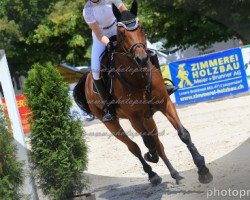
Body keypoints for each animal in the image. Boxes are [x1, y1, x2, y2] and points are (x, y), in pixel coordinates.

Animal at [74, 0, 213, 186]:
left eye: (141, 27)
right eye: (122, 33)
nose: (142, 59)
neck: (138, 77)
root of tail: (87, 78)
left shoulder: (165, 104)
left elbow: (183, 134)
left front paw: (203, 169)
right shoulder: (134, 116)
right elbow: (147, 142)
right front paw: (151, 157)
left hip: (148, 117)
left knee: (158, 144)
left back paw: (175, 174)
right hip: (112, 123)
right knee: (134, 146)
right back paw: (152, 173)